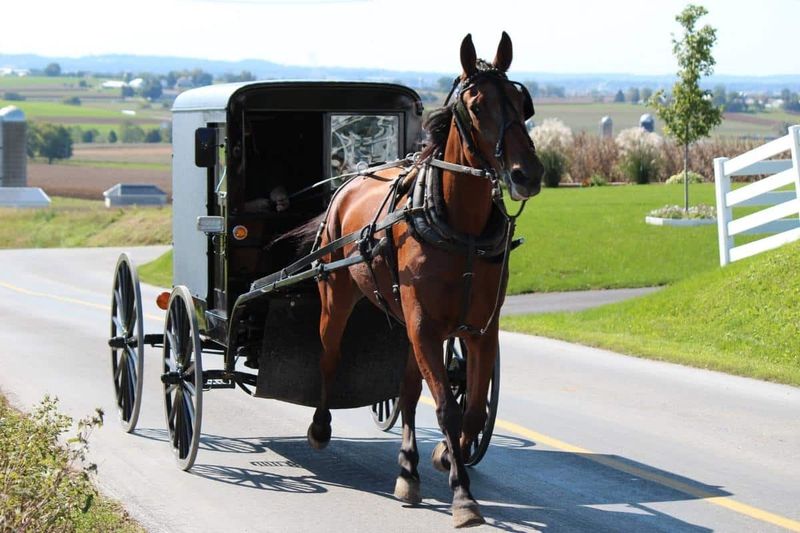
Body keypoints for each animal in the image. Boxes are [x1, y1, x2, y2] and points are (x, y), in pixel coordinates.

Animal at [303, 32, 542, 527]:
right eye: (476, 105)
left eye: (521, 102)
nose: (527, 174)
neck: (461, 228)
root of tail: (350, 179)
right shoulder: (425, 325)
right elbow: (447, 409)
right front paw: (463, 497)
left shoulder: (480, 329)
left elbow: (471, 407)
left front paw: (447, 457)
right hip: (338, 297)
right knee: (330, 357)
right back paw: (320, 427)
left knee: (410, 391)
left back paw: (408, 471)